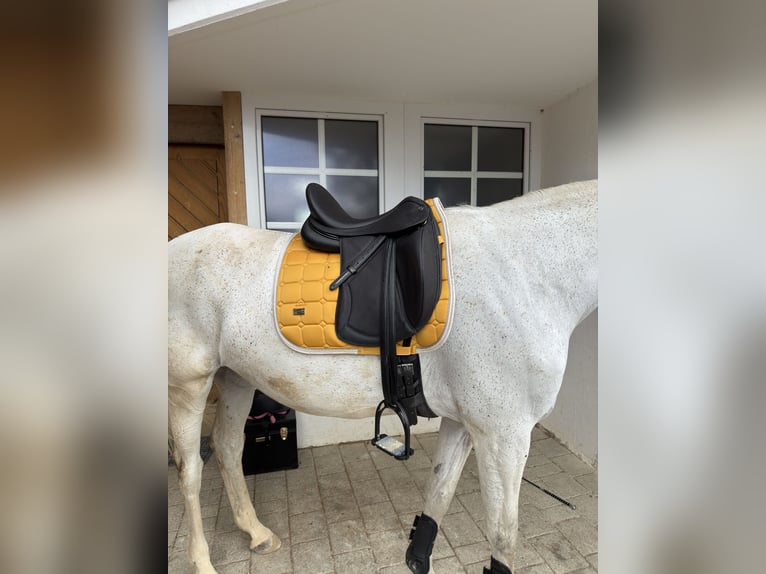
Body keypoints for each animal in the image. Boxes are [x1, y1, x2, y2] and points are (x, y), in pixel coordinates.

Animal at [168, 179, 598, 574]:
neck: (523, 270)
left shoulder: (463, 423)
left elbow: (438, 495)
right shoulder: (504, 433)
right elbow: (504, 536)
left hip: (236, 378)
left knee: (227, 447)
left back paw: (256, 533)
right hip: (189, 387)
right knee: (190, 471)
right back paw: (202, 561)